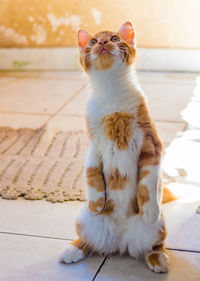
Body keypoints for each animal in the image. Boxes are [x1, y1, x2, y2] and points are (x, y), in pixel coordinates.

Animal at [59, 21, 169, 272]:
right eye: (92, 42)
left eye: (115, 38)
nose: (102, 42)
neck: (112, 97)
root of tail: (120, 243)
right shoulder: (93, 144)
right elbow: (91, 173)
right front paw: (97, 202)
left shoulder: (152, 145)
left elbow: (149, 182)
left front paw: (149, 209)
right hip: (83, 219)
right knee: (88, 242)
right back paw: (72, 250)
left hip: (158, 227)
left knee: (154, 246)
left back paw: (158, 260)